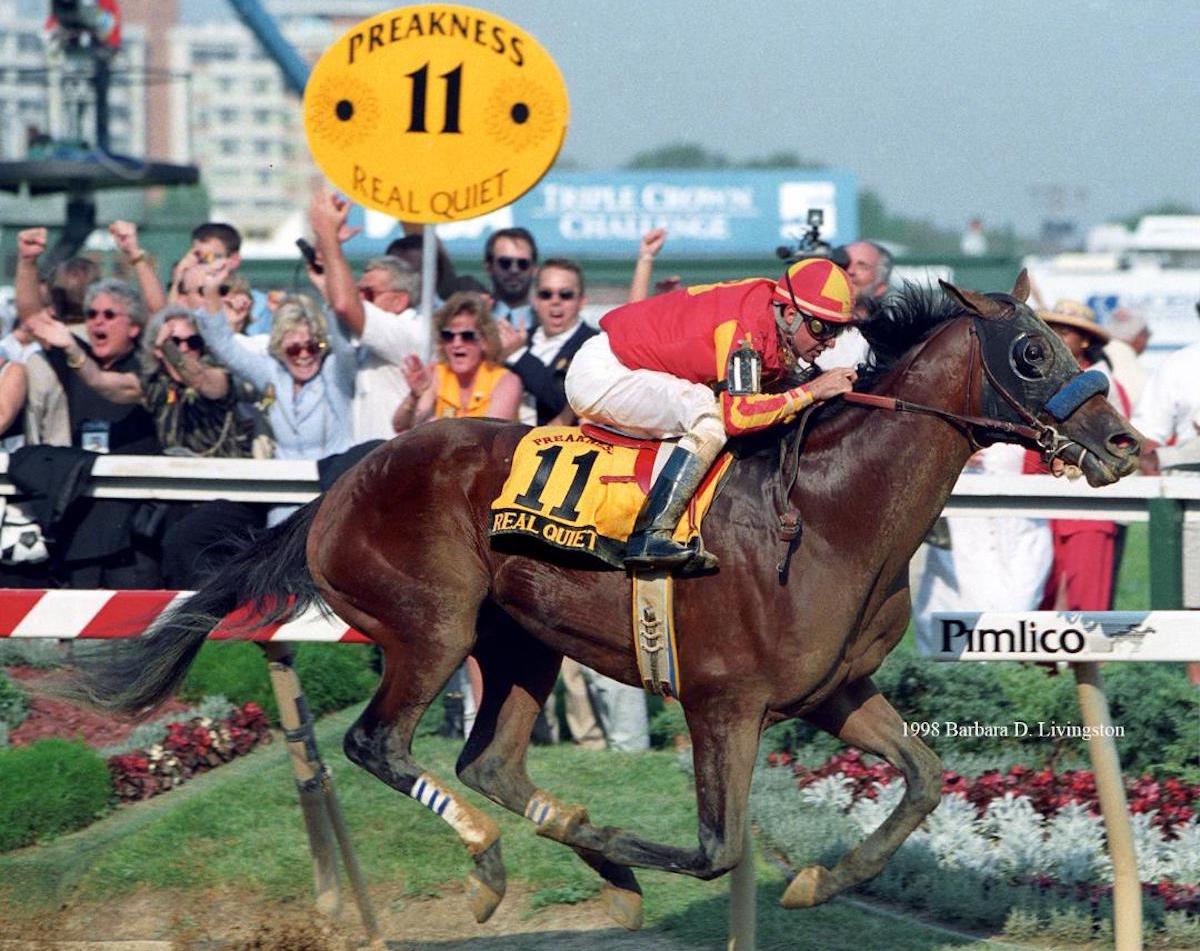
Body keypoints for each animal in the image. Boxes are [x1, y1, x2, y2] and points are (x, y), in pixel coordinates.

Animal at [70, 271, 1137, 926]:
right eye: (1032, 354)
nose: (1126, 444)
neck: (833, 513)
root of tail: (341, 481)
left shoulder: (832, 689)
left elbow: (922, 777)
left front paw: (817, 879)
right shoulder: (723, 700)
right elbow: (715, 848)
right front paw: (634, 858)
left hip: (520, 641)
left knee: (490, 760)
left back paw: (567, 842)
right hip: (431, 626)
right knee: (380, 743)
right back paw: (496, 864)